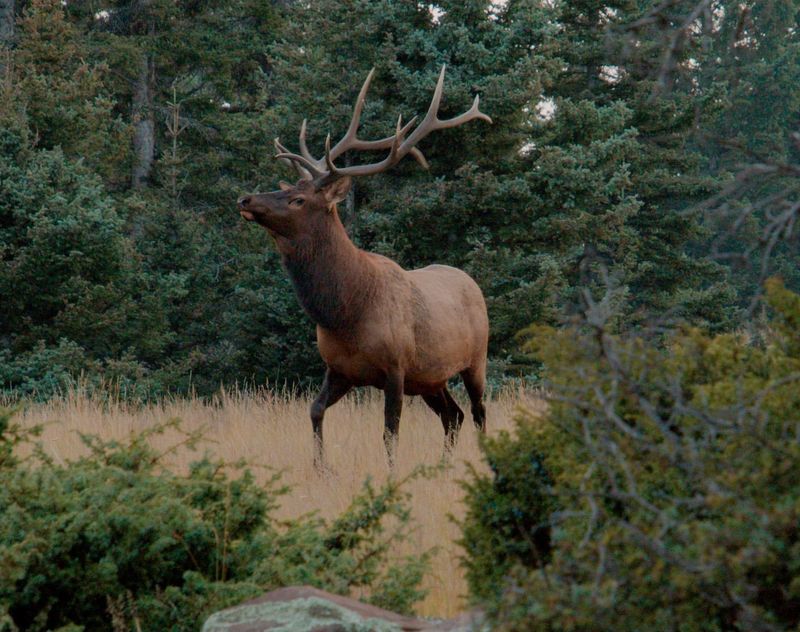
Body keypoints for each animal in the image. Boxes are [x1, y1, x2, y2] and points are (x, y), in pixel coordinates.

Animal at [234, 65, 490, 470]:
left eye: (298, 199)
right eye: (286, 186)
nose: (245, 198)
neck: (346, 312)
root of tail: (470, 280)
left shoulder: (396, 367)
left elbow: (390, 430)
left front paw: (391, 473)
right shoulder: (339, 368)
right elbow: (315, 410)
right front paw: (321, 467)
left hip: (476, 359)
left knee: (478, 411)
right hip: (431, 378)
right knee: (454, 415)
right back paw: (443, 463)